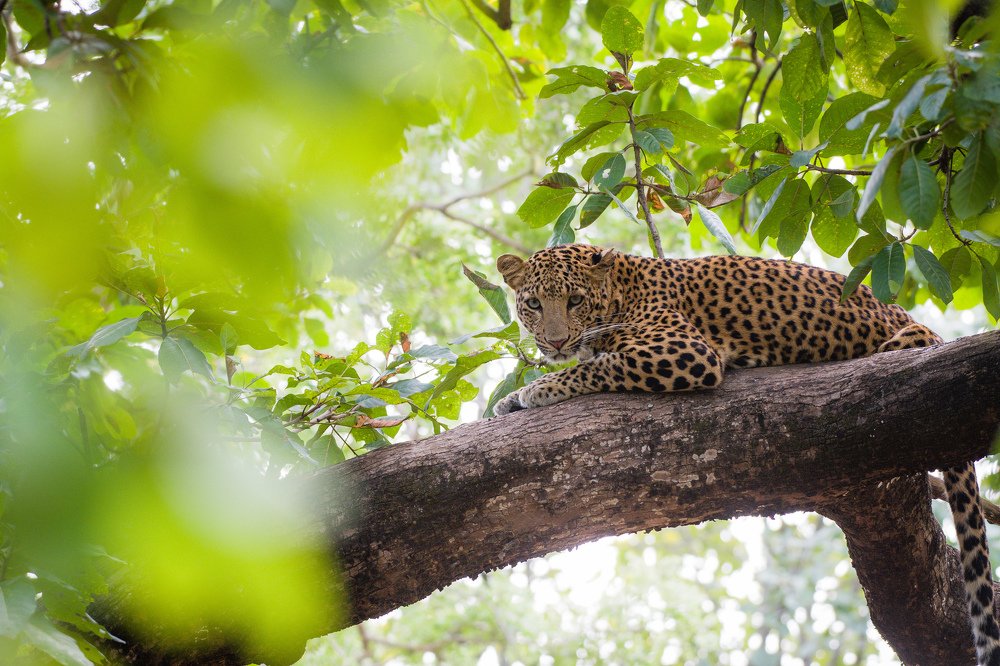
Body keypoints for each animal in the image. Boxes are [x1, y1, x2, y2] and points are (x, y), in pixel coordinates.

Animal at [493, 242, 999, 666]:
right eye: (534, 304)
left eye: (575, 300)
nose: (555, 342)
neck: (618, 290)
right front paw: (512, 397)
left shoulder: (684, 350)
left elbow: (595, 366)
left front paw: (534, 391)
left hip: (901, 343)